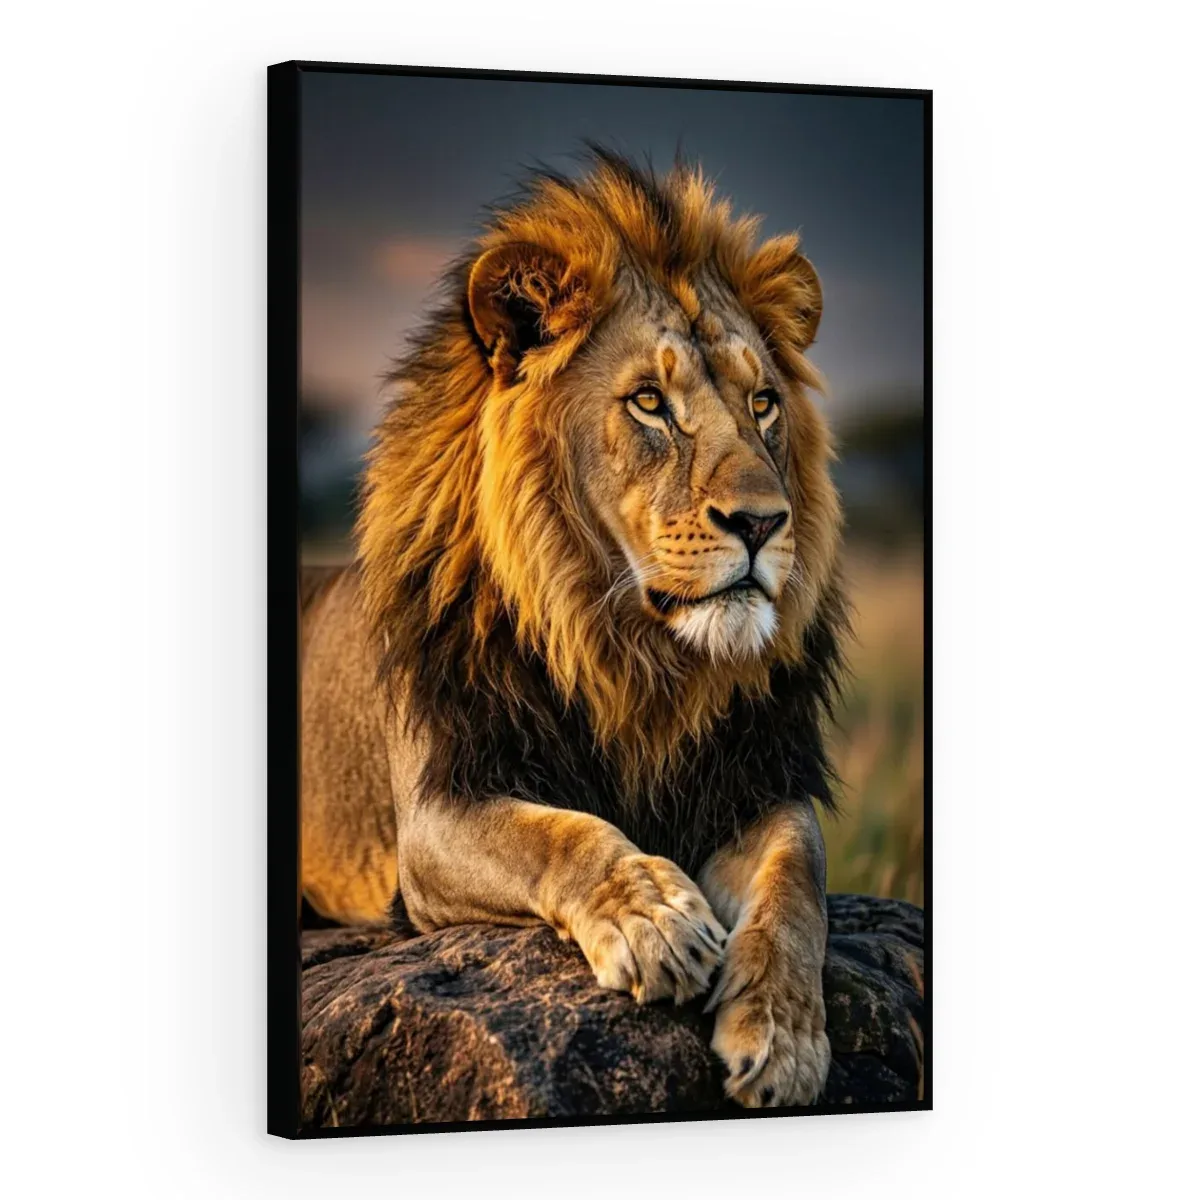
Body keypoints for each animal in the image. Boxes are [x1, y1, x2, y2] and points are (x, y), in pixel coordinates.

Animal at [300, 150, 846, 1109]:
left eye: (764, 404)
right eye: (650, 403)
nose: (762, 522)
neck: (632, 654)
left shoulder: (757, 778)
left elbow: (796, 883)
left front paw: (782, 1037)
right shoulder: (438, 811)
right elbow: (559, 834)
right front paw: (656, 920)